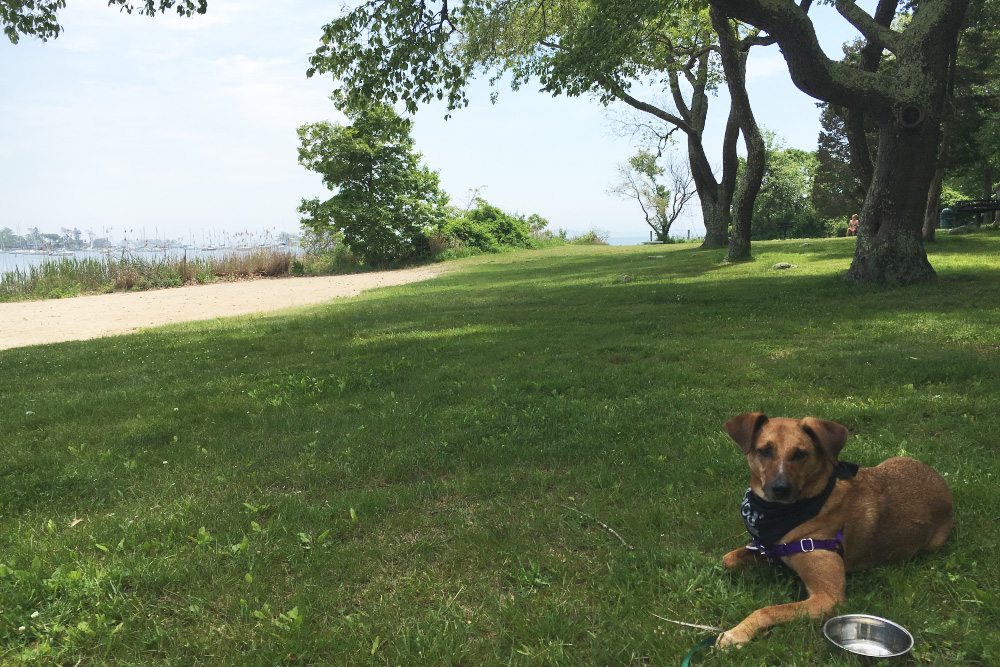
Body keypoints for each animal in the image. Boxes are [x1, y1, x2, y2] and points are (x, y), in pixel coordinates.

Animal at [720, 412, 952, 648]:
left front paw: (737, 632)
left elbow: (768, 610)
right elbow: (727, 559)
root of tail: (940, 480)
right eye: (765, 450)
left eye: (800, 453)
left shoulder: (829, 598)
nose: (781, 489)